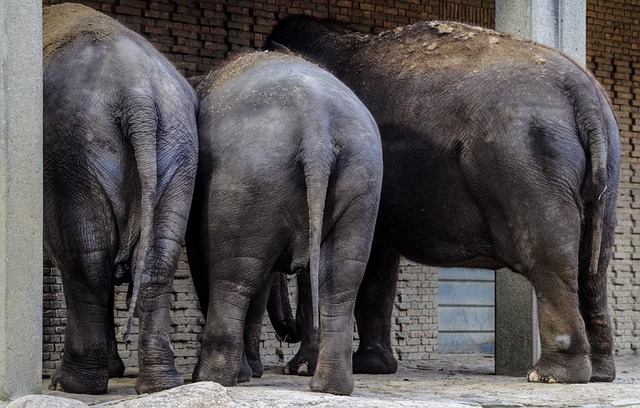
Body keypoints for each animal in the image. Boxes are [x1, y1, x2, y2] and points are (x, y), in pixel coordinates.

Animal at [42, 3, 198, 396]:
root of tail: (137, 95)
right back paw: (161, 385)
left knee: (86, 258)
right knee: (160, 257)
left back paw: (71, 384)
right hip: (180, 147)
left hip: (69, 152)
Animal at [186, 50, 384, 396]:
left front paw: (244, 375)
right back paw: (330, 387)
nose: (289, 331)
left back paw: (209, 378)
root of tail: (317, 127)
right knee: (342, 279)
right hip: (362, 184)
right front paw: (251, 373)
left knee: (233, 279)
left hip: (250, 179)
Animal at [264, 15, 620, 384]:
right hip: (603, 169)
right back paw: (599, 374)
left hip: (530, 163)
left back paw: (550, 375)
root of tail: (583, 93)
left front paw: (300, 369)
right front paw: (371, 367)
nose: (287, 332)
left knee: (549, 259)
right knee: (594, 265)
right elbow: (378, 263)